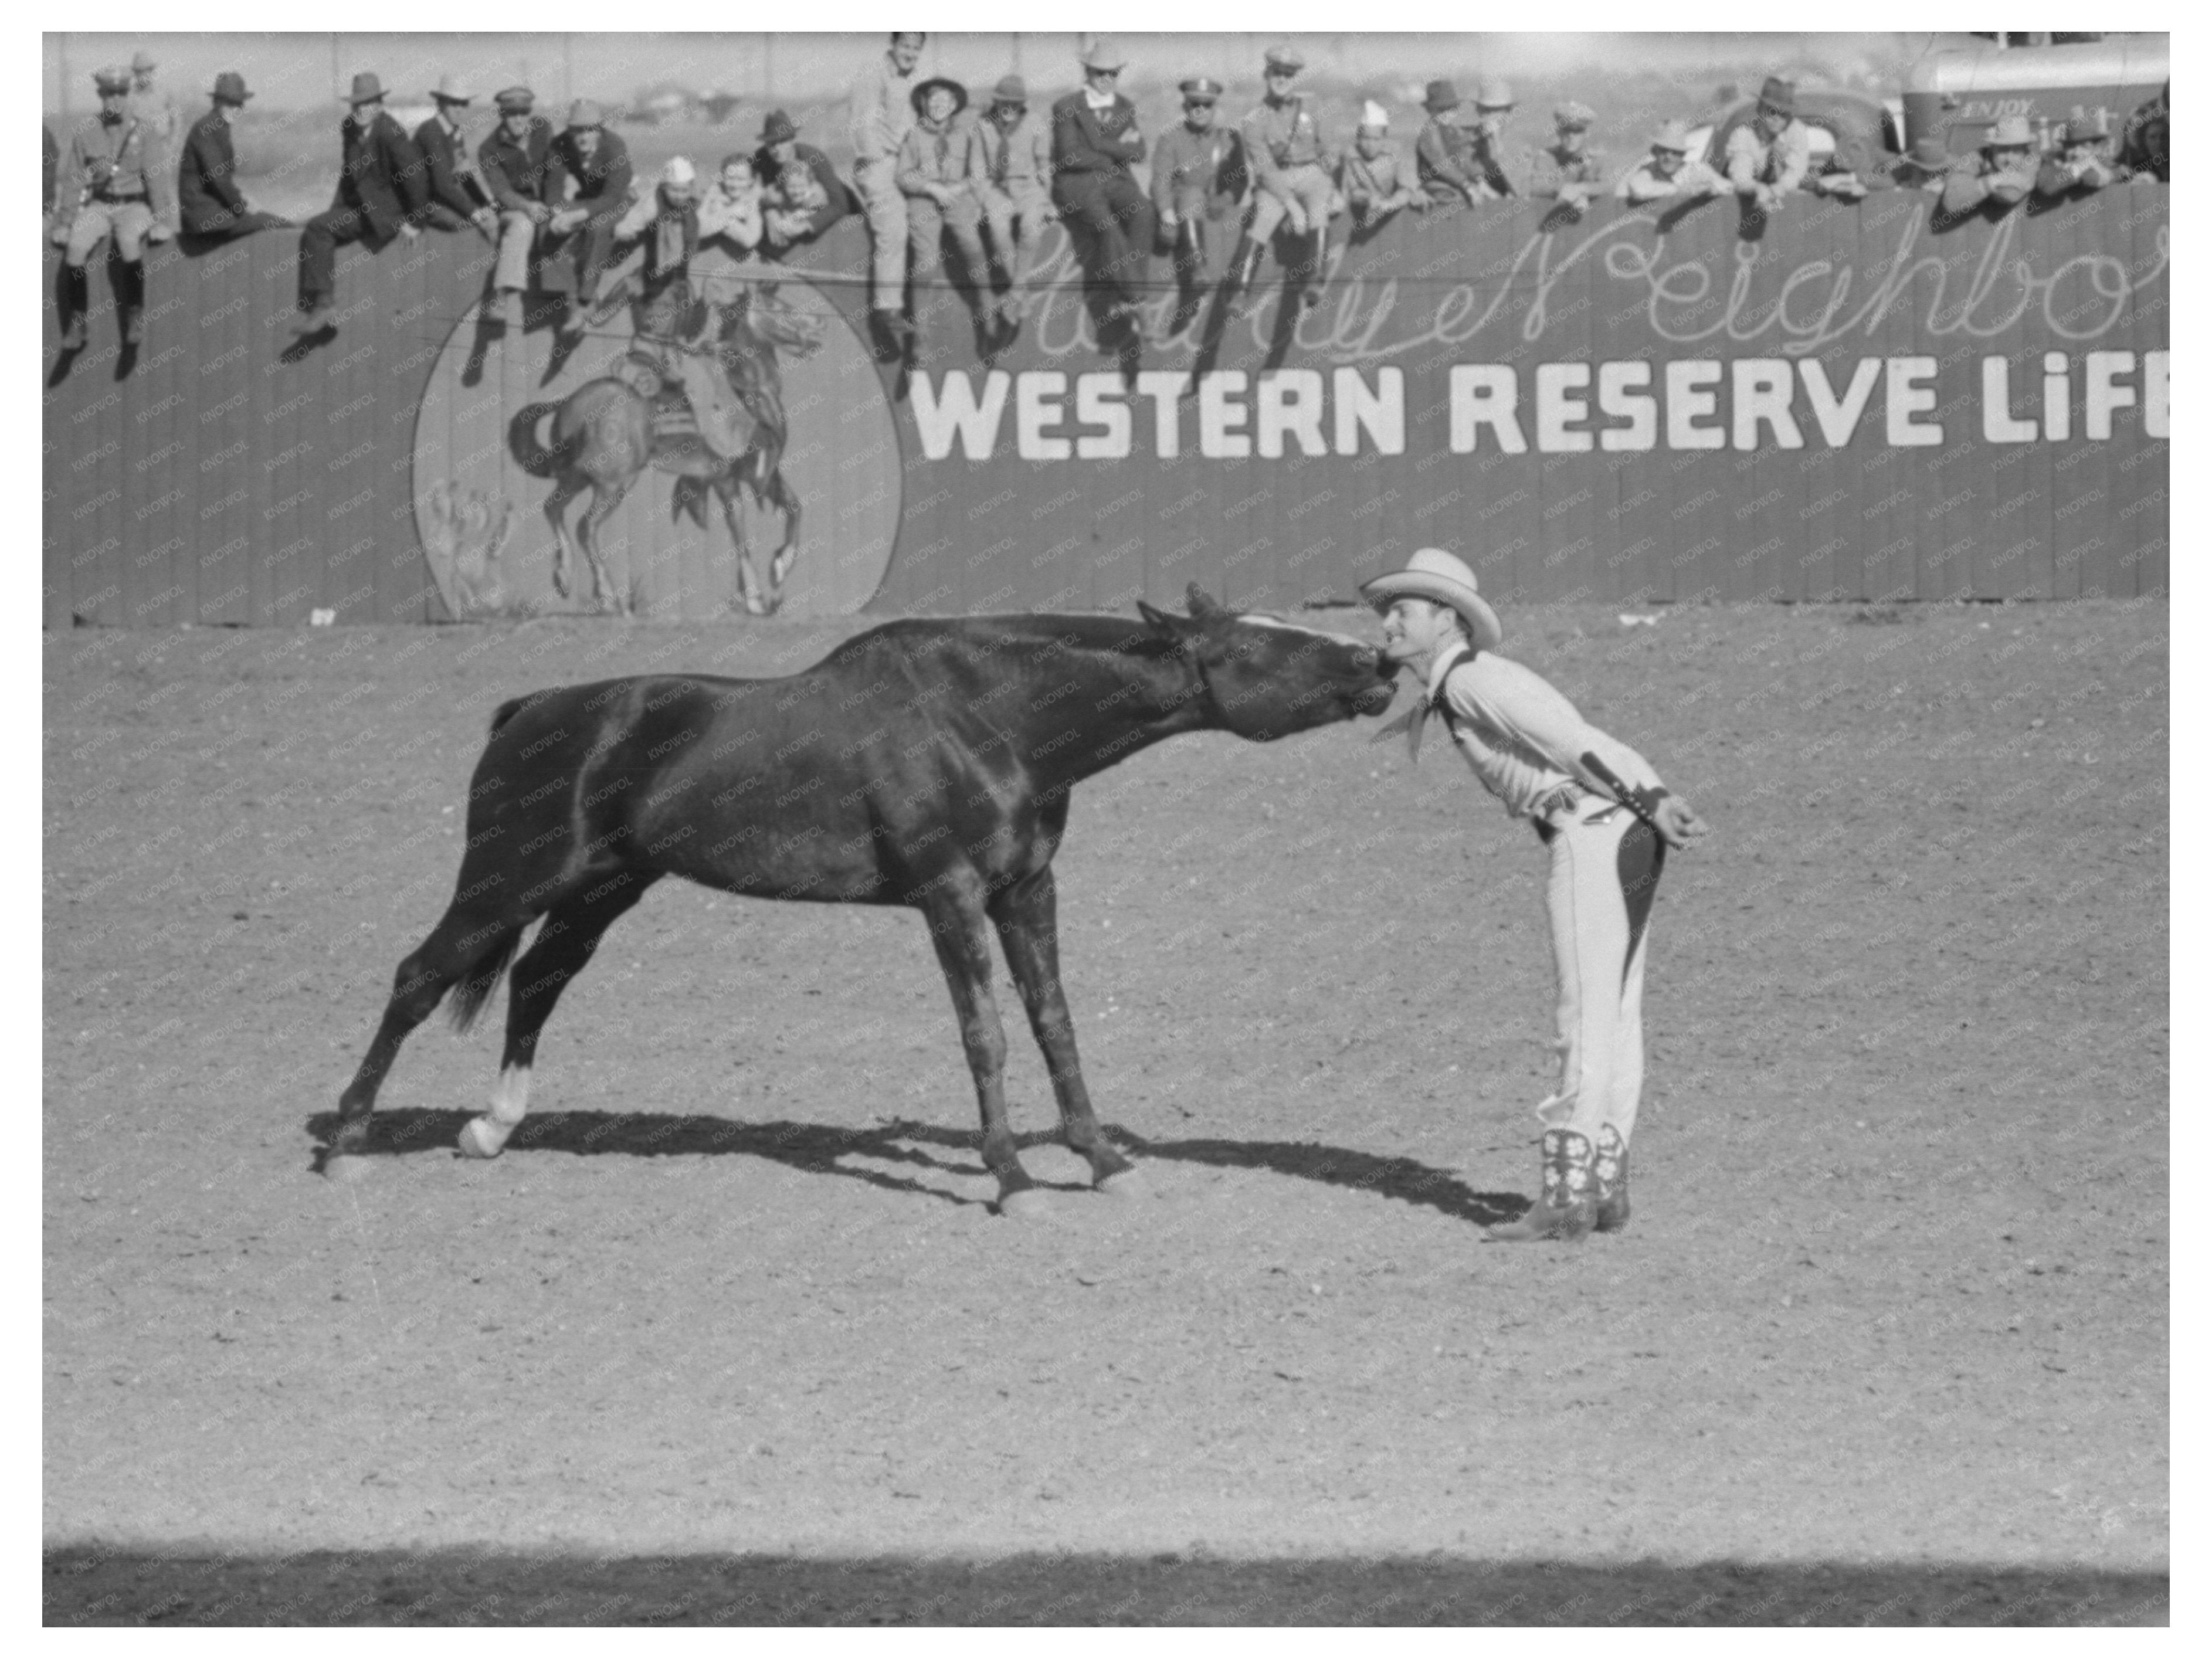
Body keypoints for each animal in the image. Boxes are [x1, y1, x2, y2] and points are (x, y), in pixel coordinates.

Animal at [329, 587, 1395, 1214]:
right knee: (419, 977)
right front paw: (1012, 1178)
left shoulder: (1027, 890)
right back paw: (346, 1143)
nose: (1381, 664)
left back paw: (490, 1128)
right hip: (508, 881)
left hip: (601, 889)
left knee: (538, 980)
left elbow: (1054, 1021)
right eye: (1261, 643)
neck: (989, 717)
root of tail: (527, 711)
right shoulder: (950, 896)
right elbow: (986, 1034)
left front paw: (1101, 1158)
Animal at [514, 282, 827, 616]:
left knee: (553, 508)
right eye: (778, 307)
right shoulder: (730, 478)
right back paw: (609, 599)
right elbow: (741, 532)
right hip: (614, 482)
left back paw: (564, 576)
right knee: (586, 527)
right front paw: (756, 598)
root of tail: (573, 405)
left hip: (577, 477)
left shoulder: (751, 475)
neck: (746, 395)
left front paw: (777, 578)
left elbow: (793, 509)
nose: (819, 326)